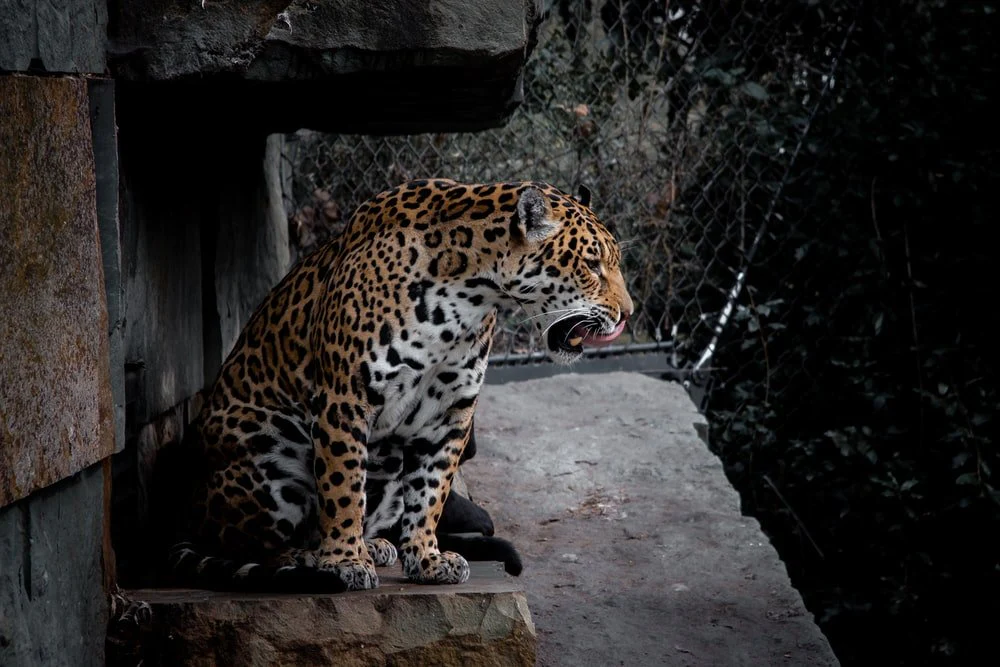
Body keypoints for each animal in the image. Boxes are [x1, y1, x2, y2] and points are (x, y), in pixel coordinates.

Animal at [167, 178, 633, 593]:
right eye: (592, 265)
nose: (628, 313)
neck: (470, 296)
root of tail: (186, 508)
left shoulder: (450, 413)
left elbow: (431, 493)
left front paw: (426, 559)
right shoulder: (345, 399)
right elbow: (342, 488)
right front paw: (345, 562)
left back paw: (374, 546)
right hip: (266, 455)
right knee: (239, 541)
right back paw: (308, 557)